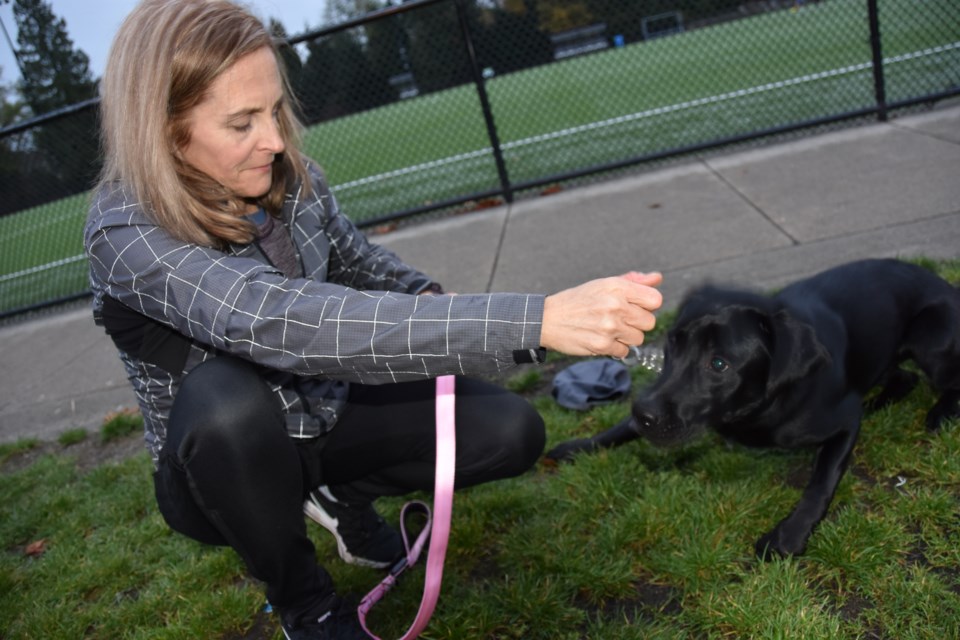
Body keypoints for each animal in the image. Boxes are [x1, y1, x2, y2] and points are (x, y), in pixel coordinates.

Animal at [548, 260, 960, 560]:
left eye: (718, 364)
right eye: (672, 346)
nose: (644, 413)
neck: (748, 413)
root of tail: (945, 284)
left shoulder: (843, 422)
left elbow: (820, 484)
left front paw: (789, 535)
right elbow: (619, 429)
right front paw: (579, 446)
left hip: (930, 338)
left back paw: (939, 413)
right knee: (904, 378)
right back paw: (878, 401)